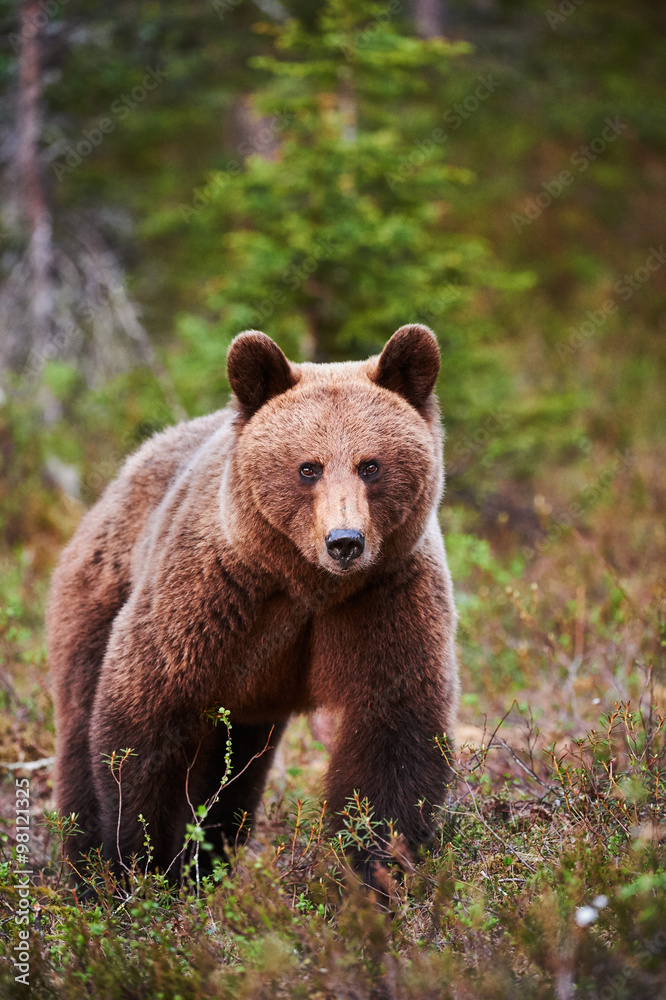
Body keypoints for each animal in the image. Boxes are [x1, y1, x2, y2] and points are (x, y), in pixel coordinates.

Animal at [47, 323, 459, 890]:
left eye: (371, 465)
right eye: (308, 467)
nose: (345, 542)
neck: (307, 585)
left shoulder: (384, 598)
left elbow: (393, 733)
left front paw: (374, 870)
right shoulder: (212, 598)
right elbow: (146, 718)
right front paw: (143, 864)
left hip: (250, 701)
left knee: (235, 773)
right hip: (100, 592)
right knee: (81, 718)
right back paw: (86, 867)